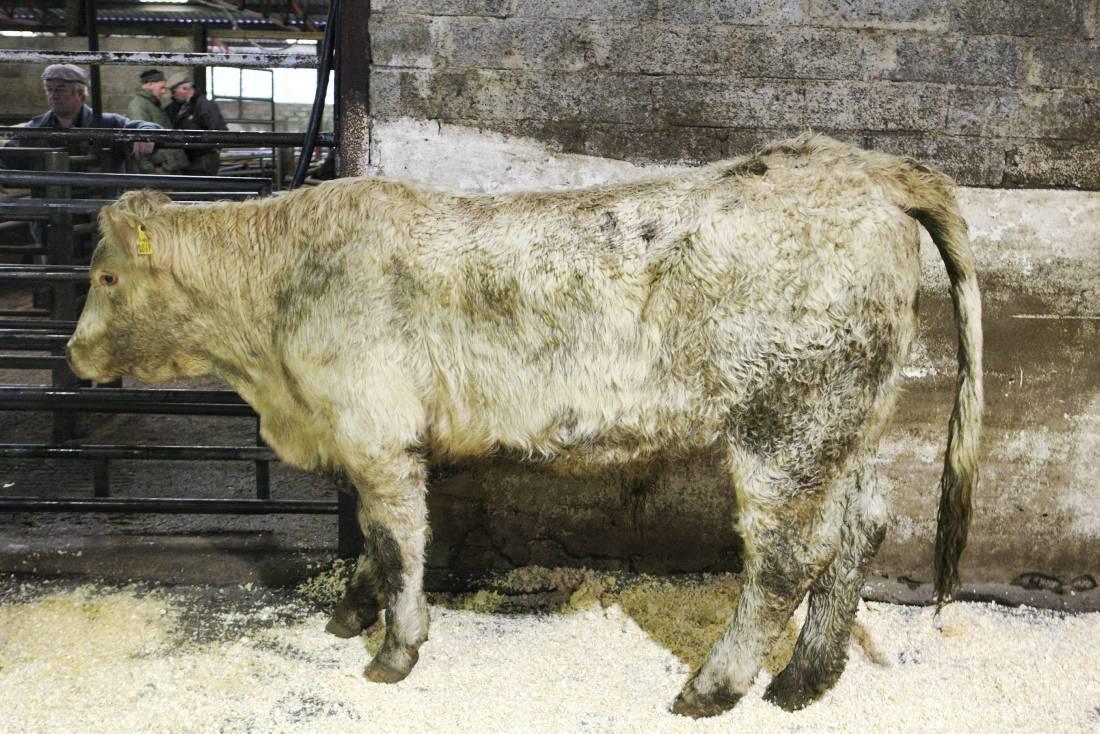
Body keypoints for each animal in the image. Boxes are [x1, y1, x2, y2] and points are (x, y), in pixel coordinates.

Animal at [67, 134, 982, 718]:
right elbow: (380, 541)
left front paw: (394, 651)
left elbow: (396, 544)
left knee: (786, 559)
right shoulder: (384, 444)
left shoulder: (377, 434)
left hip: (784, 425)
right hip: (846, 423)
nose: (73, 354)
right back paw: (805, 681)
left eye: (106, 276)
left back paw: (714, 689)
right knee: (860, 526)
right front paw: (353, 615)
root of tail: (862, 166)